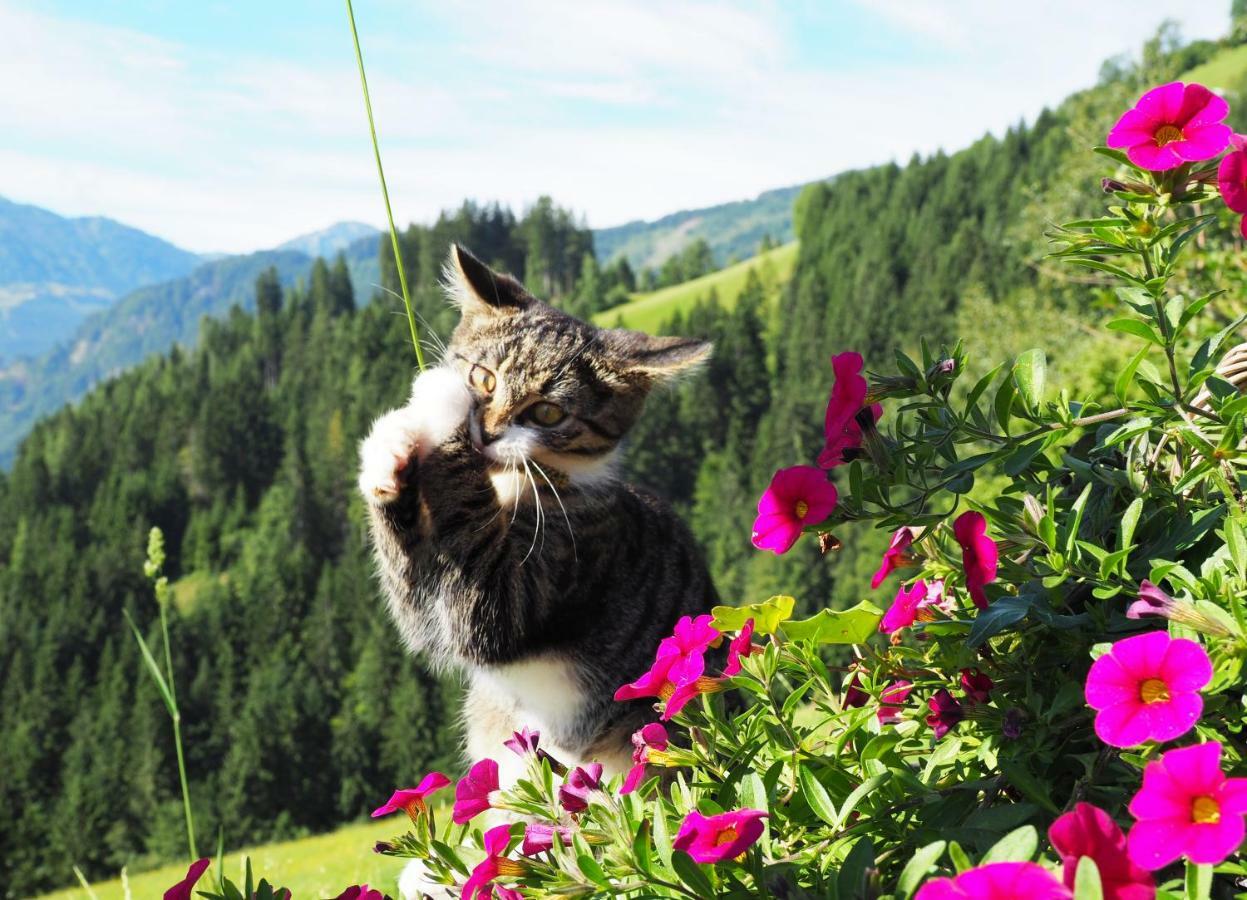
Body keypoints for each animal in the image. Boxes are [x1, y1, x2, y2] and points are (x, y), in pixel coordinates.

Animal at [356, 243, 718, 892]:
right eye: (483, 376)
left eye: (548, 412)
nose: (486, 429)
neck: (510, 485)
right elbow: (416, 606)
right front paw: (390, 453)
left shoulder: (558, 569)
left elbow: (476, 617)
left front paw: (438, 407)